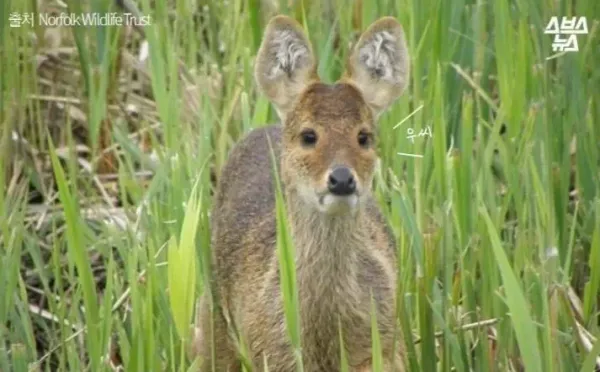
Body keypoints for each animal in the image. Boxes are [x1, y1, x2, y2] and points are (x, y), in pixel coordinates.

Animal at [192, 13, 412, 372]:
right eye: (309, 135)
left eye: (364, 137)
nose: (341, 179)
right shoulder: (271, 354)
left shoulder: (386, 351)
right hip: (212, 324)